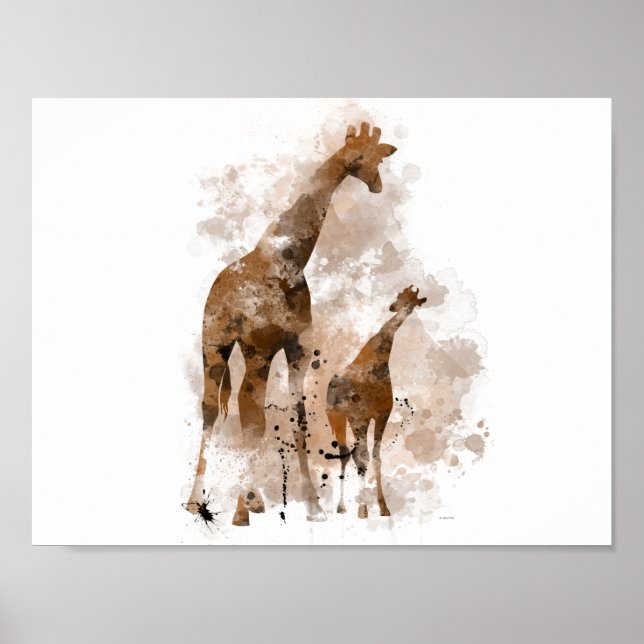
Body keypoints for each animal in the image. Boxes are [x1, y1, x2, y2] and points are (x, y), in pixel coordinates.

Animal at [186, 122, 397, 526]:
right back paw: (205, 502)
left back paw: (246, 500)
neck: (290, 260)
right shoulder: (262, 348)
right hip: (215, 343)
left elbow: (298, 418)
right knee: (216, 408)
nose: (378, 185)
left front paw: (313, 505)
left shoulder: (298, 347)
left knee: (229, 408)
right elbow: (254, 419)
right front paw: (242, 510)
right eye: (370, 159)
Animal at [326, 286, 427, 518]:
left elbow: (376, 457)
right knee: (346, 455)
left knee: (353, 455)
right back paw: (343, 507)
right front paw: (363, 510)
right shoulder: (361, 417)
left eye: (412, 301)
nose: (393, 307)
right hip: (338, 417)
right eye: (399, 297)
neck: (378, 361)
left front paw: (383, 508)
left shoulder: (381, 415)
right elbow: (363, 457)